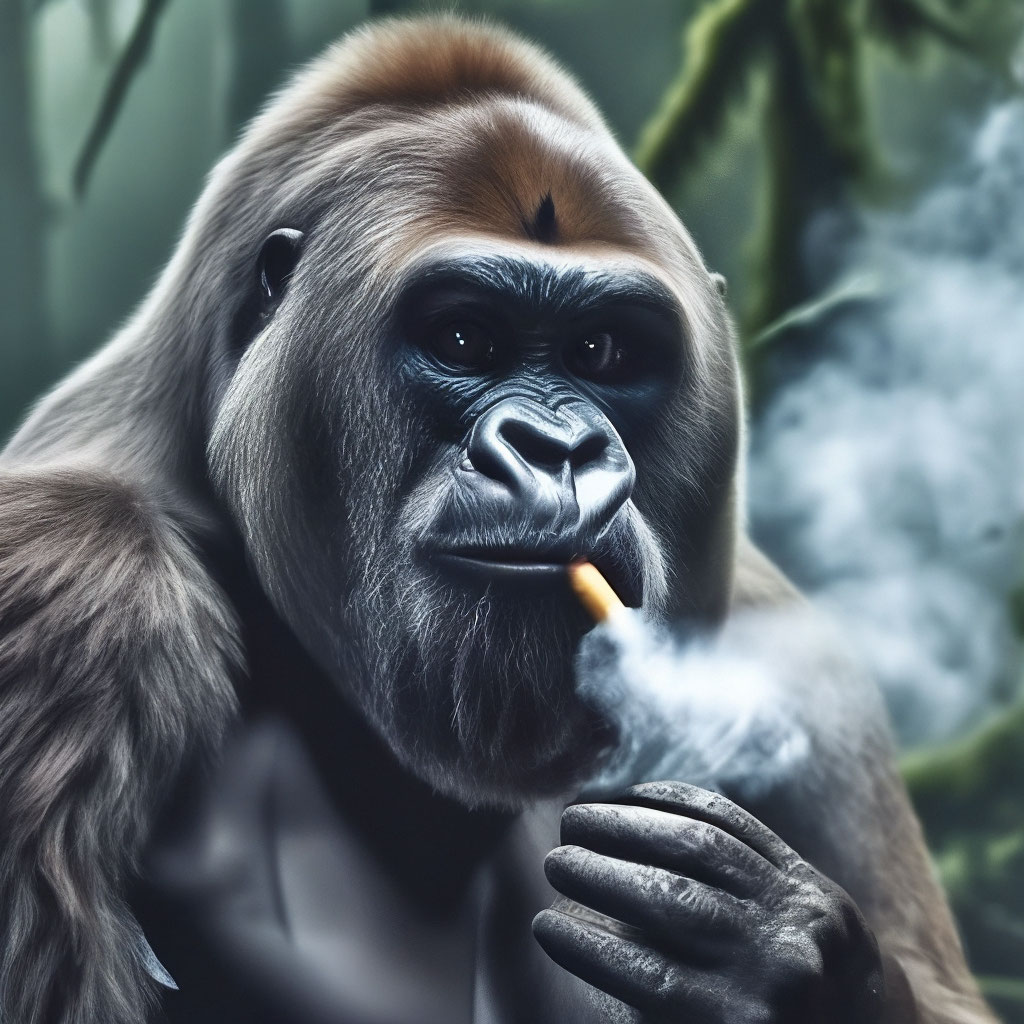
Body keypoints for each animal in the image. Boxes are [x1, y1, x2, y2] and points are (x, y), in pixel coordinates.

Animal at [0, 14, 996, 1024]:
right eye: (463, 338)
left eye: (602, 349)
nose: (555, 450)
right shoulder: (78, 571)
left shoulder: (785, 644)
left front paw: (782, 949)